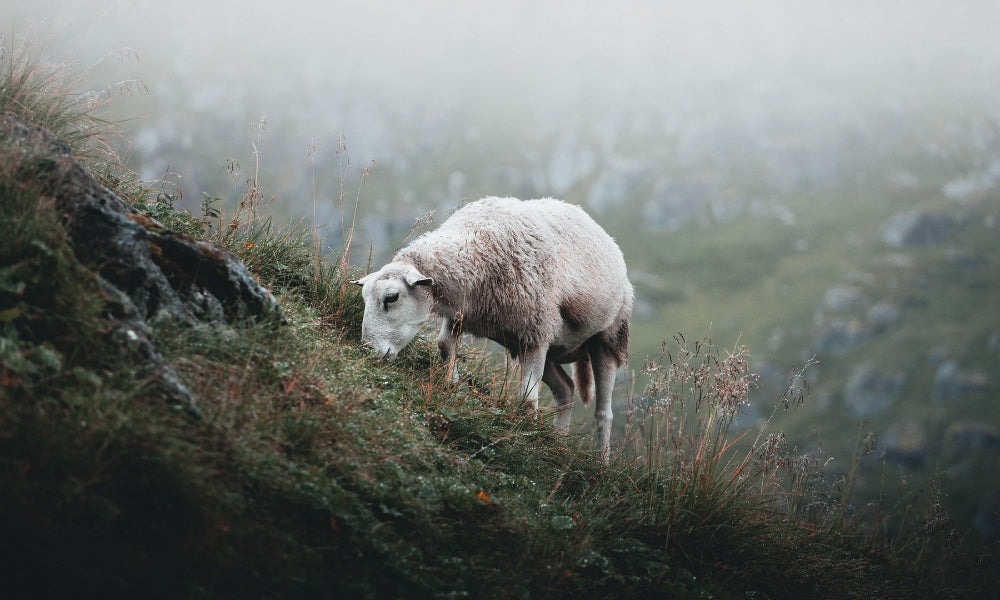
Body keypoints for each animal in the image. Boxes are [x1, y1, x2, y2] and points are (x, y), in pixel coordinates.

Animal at [354, 196, 632, 460]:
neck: (477, 241)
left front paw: (529, 440)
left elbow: (527, 402)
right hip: (540, 345)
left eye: (391, 298)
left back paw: (601, 462)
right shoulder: (463, 314)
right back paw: (559, 445)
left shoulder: (536, 331)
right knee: (565, 389)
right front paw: (454, 386)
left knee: (603, 413)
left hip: (606, 338)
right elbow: (444, 345)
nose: (368, 349)